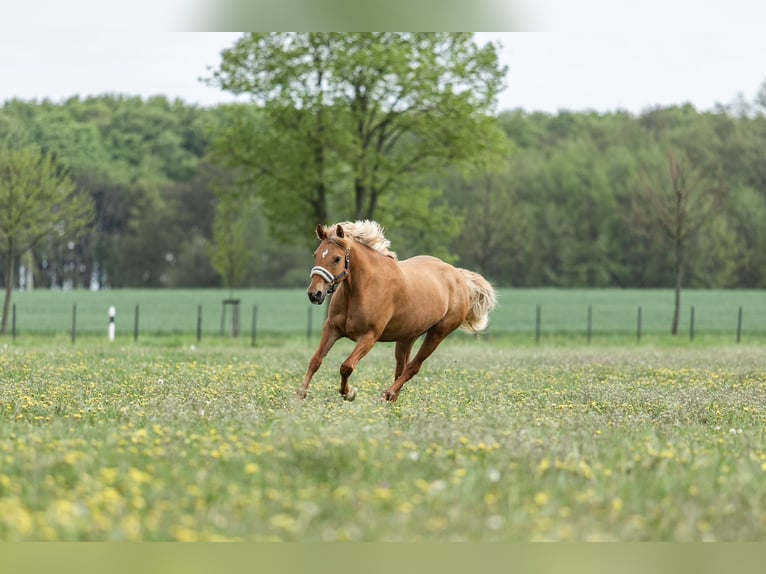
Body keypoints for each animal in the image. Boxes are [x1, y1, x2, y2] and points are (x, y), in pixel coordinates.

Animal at [296, 220, 496, 404]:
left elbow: (347, 366)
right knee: (401, 368)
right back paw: (391, 399)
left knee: (413, 367)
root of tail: (459, 277)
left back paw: (385, 395)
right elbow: (315, 360)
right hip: (407, 337)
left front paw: (349, 393)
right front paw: (300, 395)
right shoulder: (332, 328)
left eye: (337, 258)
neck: (361, 288)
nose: (315, 294)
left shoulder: (368, 337)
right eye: (316, 255)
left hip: (438, 333)